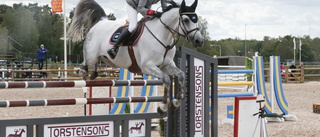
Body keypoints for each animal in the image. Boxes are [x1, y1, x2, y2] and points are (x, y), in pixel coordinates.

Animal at [68, 0, 204, 114]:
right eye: (186, 20)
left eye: (196, 19)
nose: (199, 41)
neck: (163, 36)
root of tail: (101, 21)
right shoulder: (147, 66)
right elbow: (166, 79)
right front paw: (163, 107)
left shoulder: (167, 65)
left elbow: (180, 75)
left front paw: (176, 102)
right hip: (91, 54)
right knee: (86, 61)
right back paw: (84, 72)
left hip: (108, 60)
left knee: (98, 61)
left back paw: (94, 73)